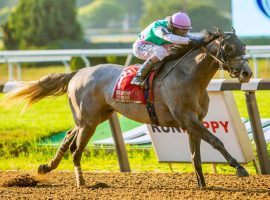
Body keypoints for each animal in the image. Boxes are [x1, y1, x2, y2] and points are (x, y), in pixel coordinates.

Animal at [3, 28, 253, 188]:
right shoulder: (187, 119)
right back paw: (82, 182)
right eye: (229, 47)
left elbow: (195, 155)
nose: (247, 73)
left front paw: (202, 184)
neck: (189, 77)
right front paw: (239, 168)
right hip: (89, 122)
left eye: (244, 45)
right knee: (76, 150)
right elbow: (216, 141)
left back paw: (47, 167)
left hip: (92, 118)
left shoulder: (193, 122)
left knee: (68, 136)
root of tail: (78, 72)